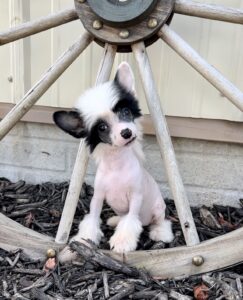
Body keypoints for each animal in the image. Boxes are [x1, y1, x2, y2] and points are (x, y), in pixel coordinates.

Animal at [54, 62, 174, 262]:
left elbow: (131, 220)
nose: (126, 132)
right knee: (124, 217)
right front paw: (83, 241)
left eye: (125, 112)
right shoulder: (98, 197)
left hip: (158, 208)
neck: (117, 165)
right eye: (102, 127)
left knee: (160, 221)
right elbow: (92, 219)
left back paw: (160, 232)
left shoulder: (135, 198)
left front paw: (122, 242)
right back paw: (115, 220)